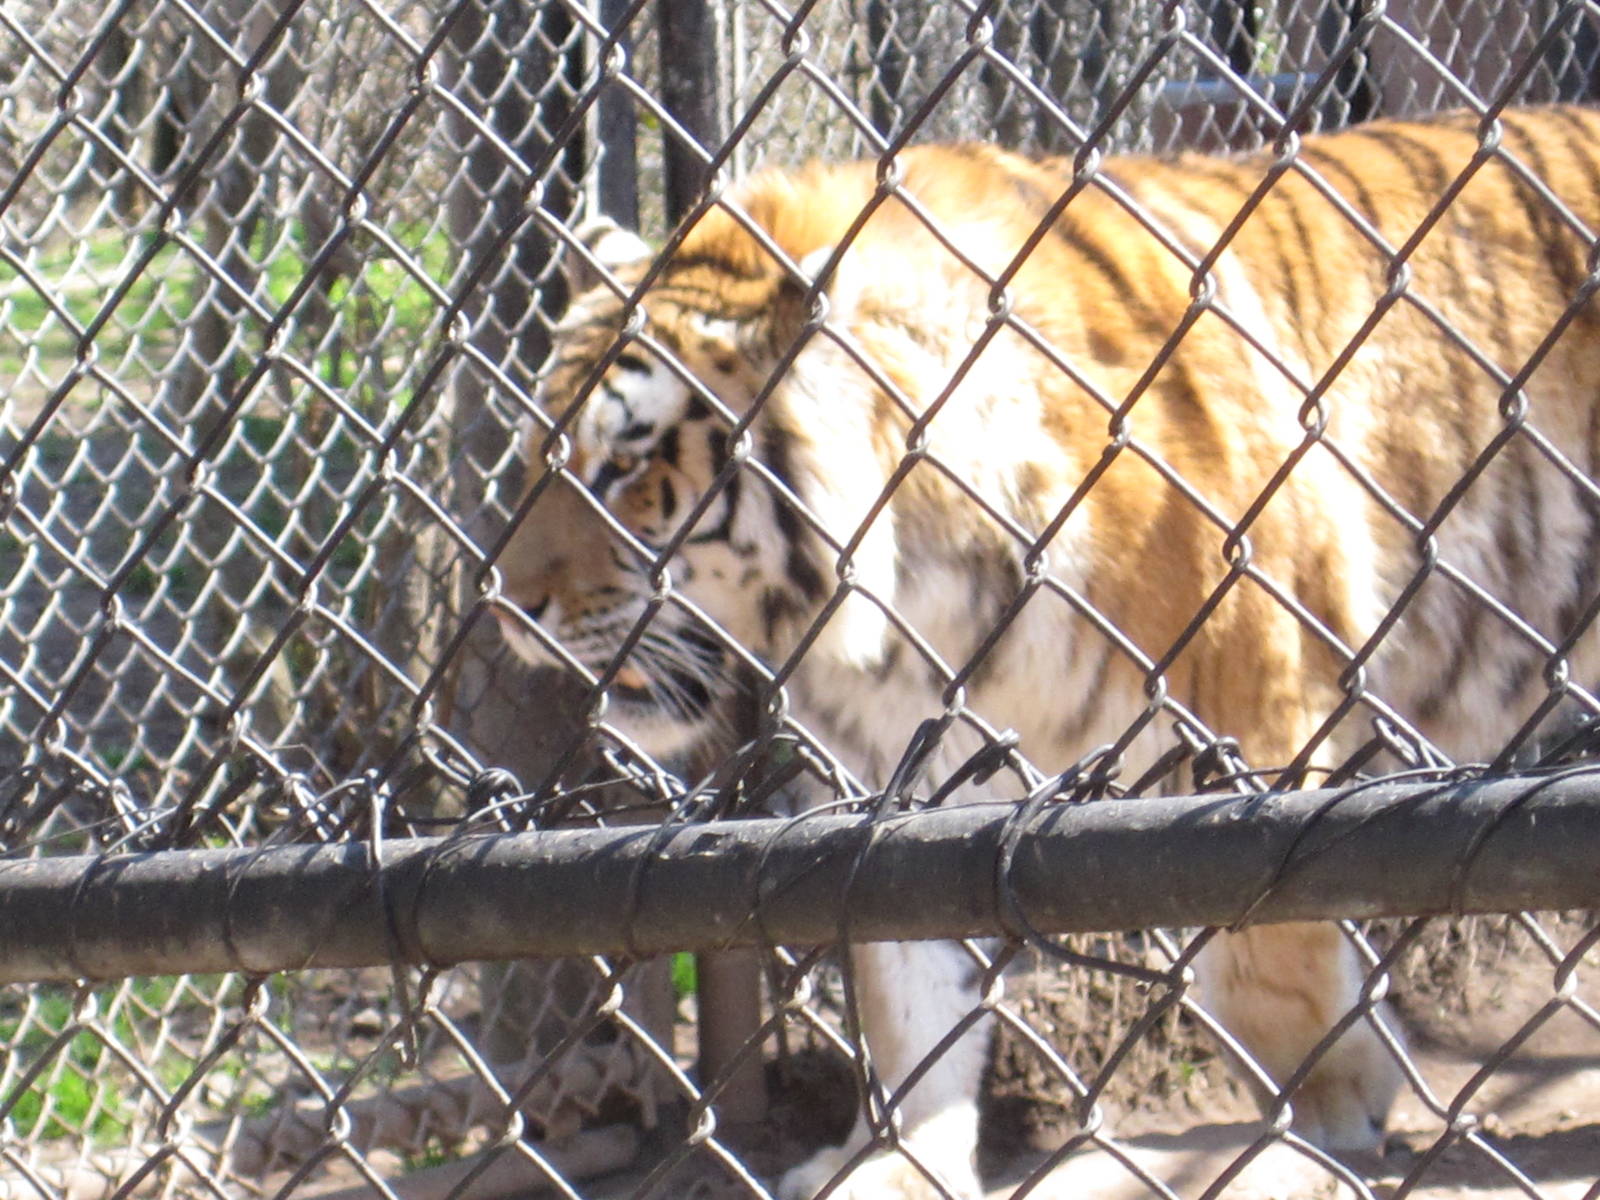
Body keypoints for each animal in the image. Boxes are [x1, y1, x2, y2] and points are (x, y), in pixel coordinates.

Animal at [494, 104, 1600, 1199]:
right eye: (541, 454)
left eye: (623, 467)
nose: (505, 608)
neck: (910, 597)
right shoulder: (891, 774)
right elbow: (904, 980)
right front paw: (897, 1161)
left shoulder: (1255, 689)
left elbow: (1269, 942)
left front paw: (1310, 1133)